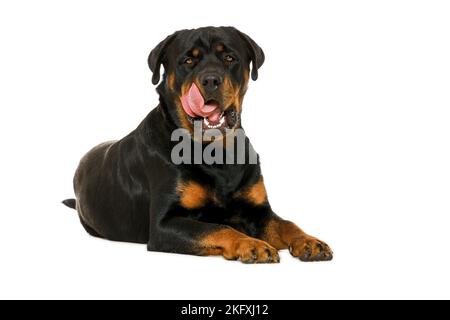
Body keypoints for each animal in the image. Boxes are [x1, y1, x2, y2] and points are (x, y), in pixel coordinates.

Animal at [61, 26, 332, 262]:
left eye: (229, 57)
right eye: (188, 61)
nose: (211, 80)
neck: (216, 153)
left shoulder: (258, 211)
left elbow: (286, 224)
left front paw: (309, 241)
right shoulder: (164, 224)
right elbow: (218, 227)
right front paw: (252, 244)